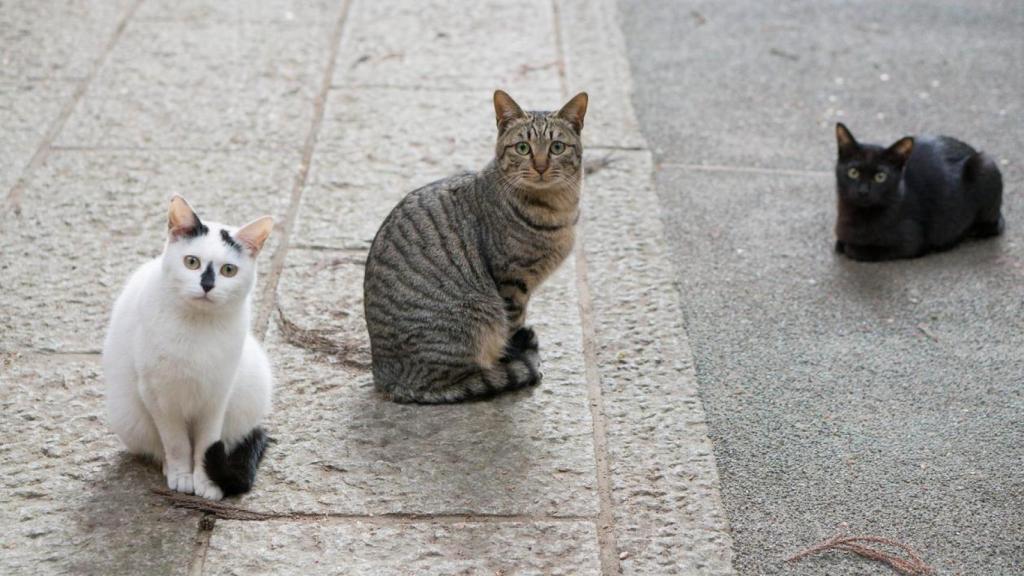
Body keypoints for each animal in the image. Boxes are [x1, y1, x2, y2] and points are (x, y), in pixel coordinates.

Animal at [364, 90, 589, 403]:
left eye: (557, 147)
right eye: (523, 148)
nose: (541, 166)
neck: (558, 208)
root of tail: (385, 377)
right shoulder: (511, 283)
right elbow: (512, 329)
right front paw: (516, 358)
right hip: (476, 315)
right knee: (450, 385)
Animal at [831, 124, 999, 264]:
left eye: (880, 177)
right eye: (853, 173)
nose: (863, 191)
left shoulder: (911, 243)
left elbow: (858, 250)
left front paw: (852, 247)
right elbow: (840, 243)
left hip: (985, 165)